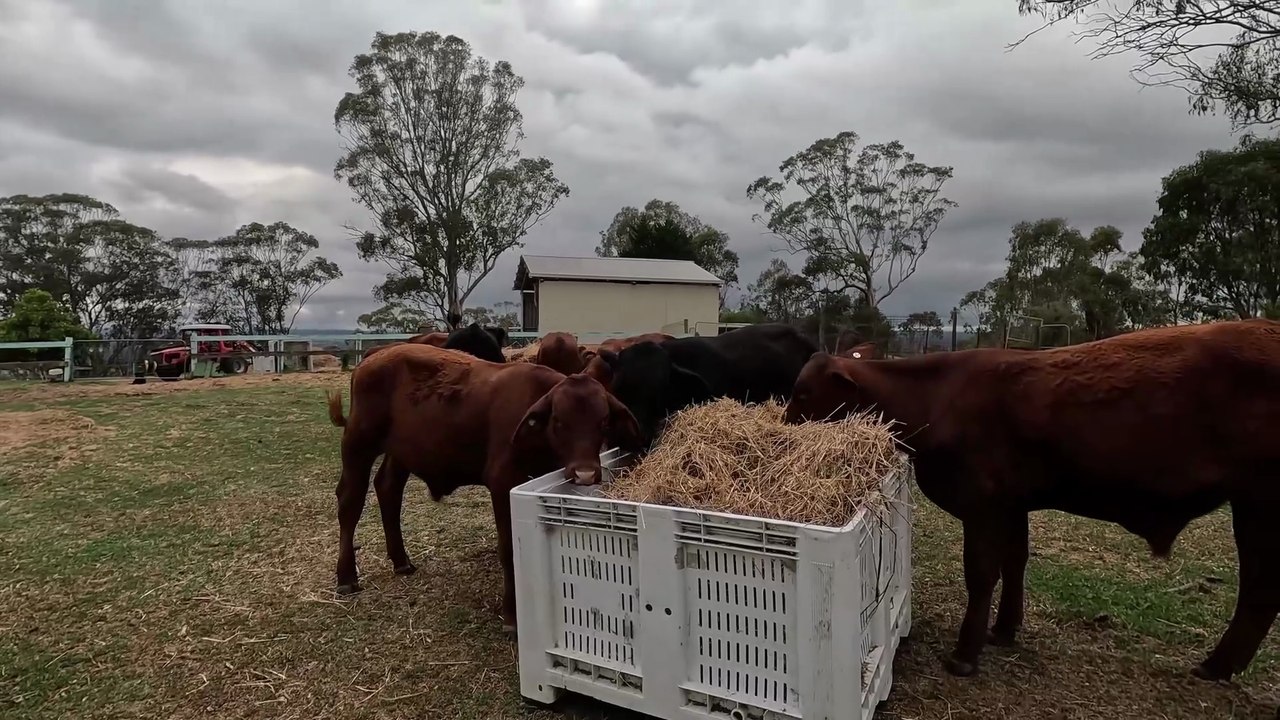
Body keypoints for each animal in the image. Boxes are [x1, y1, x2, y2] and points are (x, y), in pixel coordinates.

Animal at [326, 343, 642, 634]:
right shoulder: (503, 485)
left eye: (603, 421)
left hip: (401, 451)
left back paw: (401, 561)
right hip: (358, 444)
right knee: (350, 502)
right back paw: (346, 577)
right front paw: (512, 616)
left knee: (388, 489)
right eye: (559, 421)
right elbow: (508, 550)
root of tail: (377, 354)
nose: (585, 473)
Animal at [782, 319, 1280, 683]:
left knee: (1260, 589)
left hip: (1259, 504)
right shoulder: (1012, 505)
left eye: (803, 391)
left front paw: (965, 654)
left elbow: (982, 574)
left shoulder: (983, 506)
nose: (782, 427)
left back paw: (1216, 665)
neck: (937, 396)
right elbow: (1015, 562)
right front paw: (1004, 629)